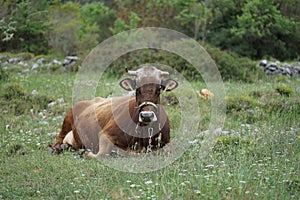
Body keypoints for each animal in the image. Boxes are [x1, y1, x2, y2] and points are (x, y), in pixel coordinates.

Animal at [50, 65, 178, 159]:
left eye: (159, 89)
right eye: (137, 90)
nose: (147, 116)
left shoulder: (167, 142)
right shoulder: (106, 134)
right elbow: (100, 154)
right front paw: (85, 152)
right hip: (66, 121)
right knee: (58, 139)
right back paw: (58, 148)